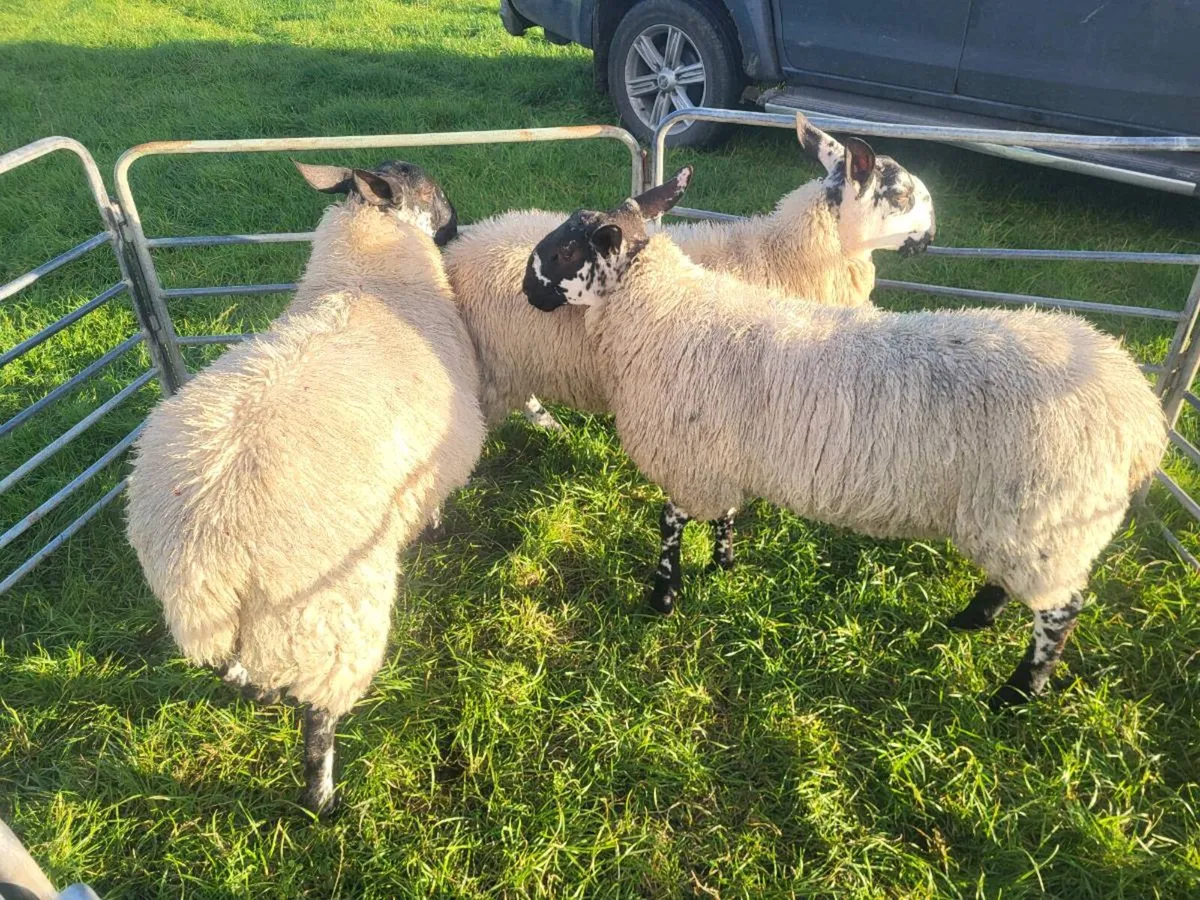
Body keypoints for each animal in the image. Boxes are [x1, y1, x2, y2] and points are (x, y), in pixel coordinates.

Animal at [125, 160, 485, 814]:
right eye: (432, 190)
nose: (456, 227)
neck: (366, 276)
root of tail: (202, 551)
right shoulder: (438, 457)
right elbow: (433, 504)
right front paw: (436, 529)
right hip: (330, 614)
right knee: (319, 717)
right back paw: (322, 798)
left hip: (226, 620)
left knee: (231, 668)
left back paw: (258, 691)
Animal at [520, 167, 1167, 709]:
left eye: (564, 251)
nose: (528, 292)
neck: (660, 310)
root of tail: (1142, 415)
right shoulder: (722, 457)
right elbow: (725, 515)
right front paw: (724, 564)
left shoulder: (691, 460)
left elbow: (669, 525)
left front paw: (663, 596)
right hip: (1022, 519)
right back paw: (976, 617)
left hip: (1050, 516)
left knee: (1061, 610)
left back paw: (1017, 691)